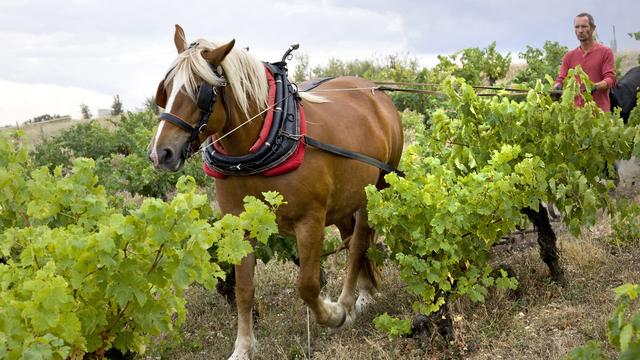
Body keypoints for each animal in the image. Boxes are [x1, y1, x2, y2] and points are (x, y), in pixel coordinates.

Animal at [148, 24, 402, 358]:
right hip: (346, 199)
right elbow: (244, 289)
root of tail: (374, 92)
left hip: (377, 190)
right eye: (165, 89)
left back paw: (348, 302)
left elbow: (307, 285)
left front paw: (333, 314)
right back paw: (364, 294)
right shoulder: (240, 225)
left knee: (359, 243)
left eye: (200, 90)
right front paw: (243, 347)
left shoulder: (310, 221)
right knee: (352, 240)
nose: (160, 153)